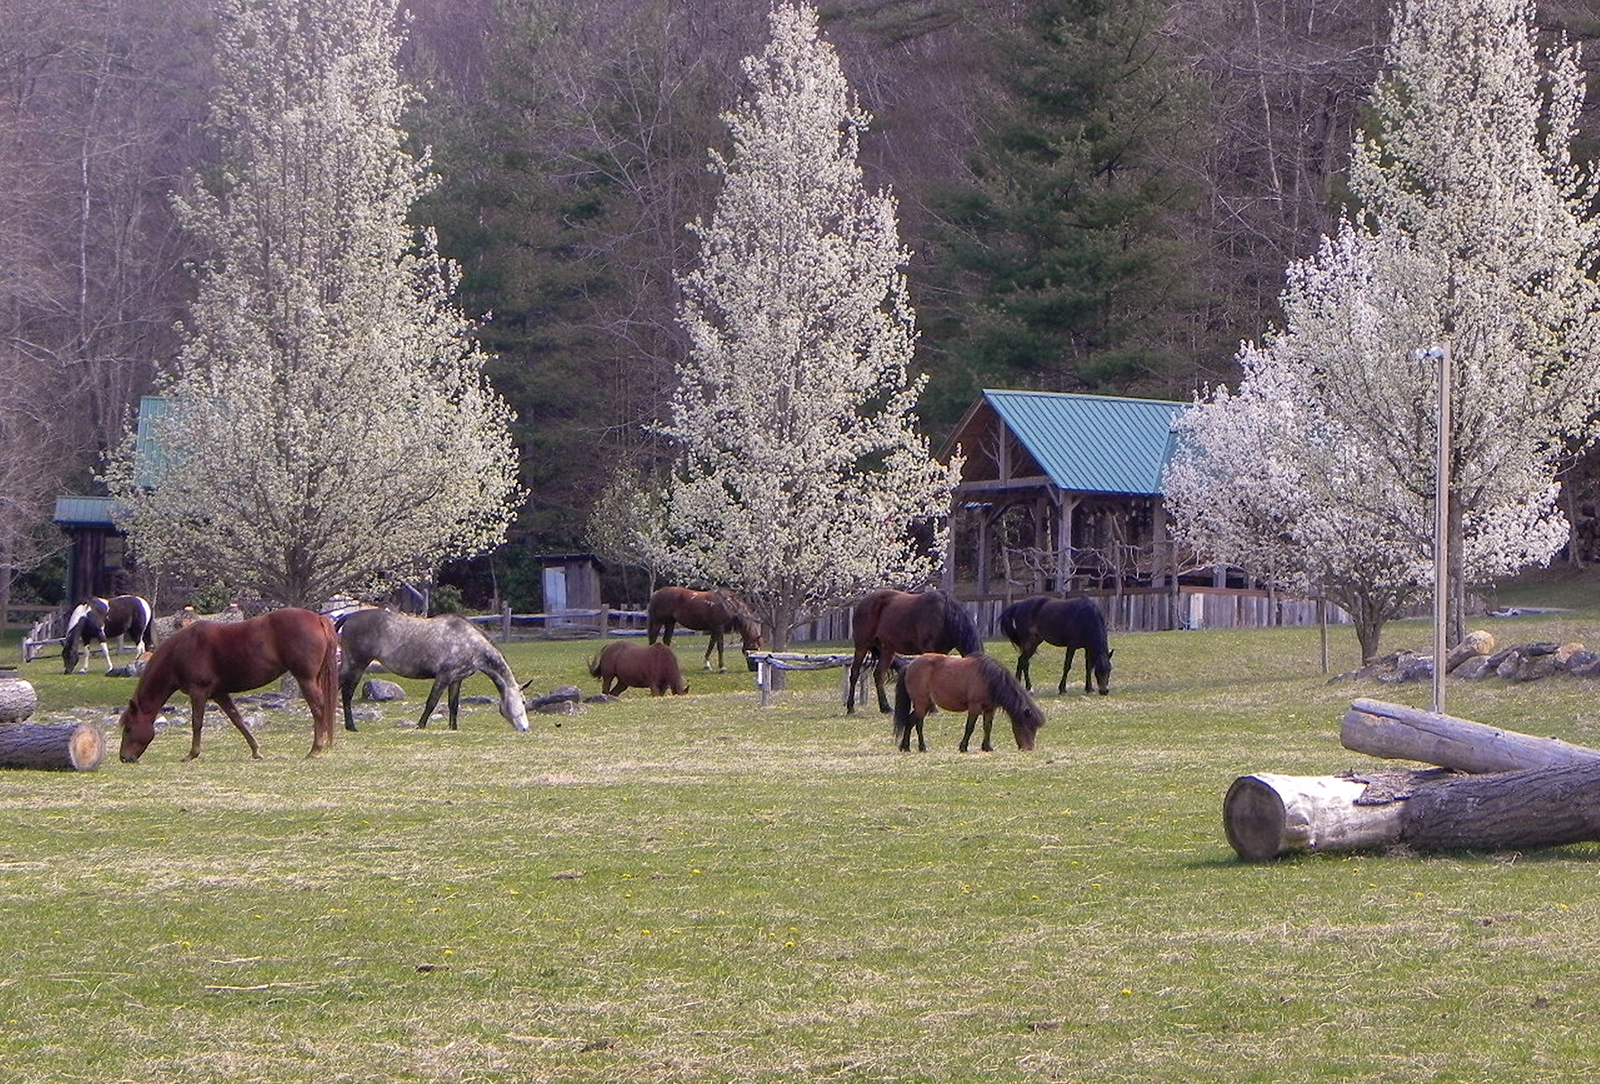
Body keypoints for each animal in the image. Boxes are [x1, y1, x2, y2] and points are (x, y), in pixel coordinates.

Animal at [120, 607, 342, 767]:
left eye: (129, 728)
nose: (124, 758)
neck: (181, 651)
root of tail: (318, 618)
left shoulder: (198, 692)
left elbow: (197, 723)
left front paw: (192, 754)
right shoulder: (220, 694)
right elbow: (238, 720)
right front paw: (256, 751)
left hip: (305, 679)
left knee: (318, 709)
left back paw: (315, 749)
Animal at [844, 591, 979, 716]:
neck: (944, 614)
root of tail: (863, 602)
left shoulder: (942, 653)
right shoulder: (929, 650)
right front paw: (932, 709)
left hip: (887, 650)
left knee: (879, 675)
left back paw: (886, 708)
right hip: (862, 646)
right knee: (854, 673)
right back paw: (851, 708)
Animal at [889, 655, 1049, 754]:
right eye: (1028, 726)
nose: (1029, 748)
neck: (989, 679)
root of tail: (909, 666)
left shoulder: (990, 710)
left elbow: (987, 727)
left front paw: (987, 747)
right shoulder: (974, 708)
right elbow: (969, 728)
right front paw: (963, 747)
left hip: (926, 704)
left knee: (911, 722)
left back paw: (906, 747)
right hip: (921, 704)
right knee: (917, 724)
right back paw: (920, 747)